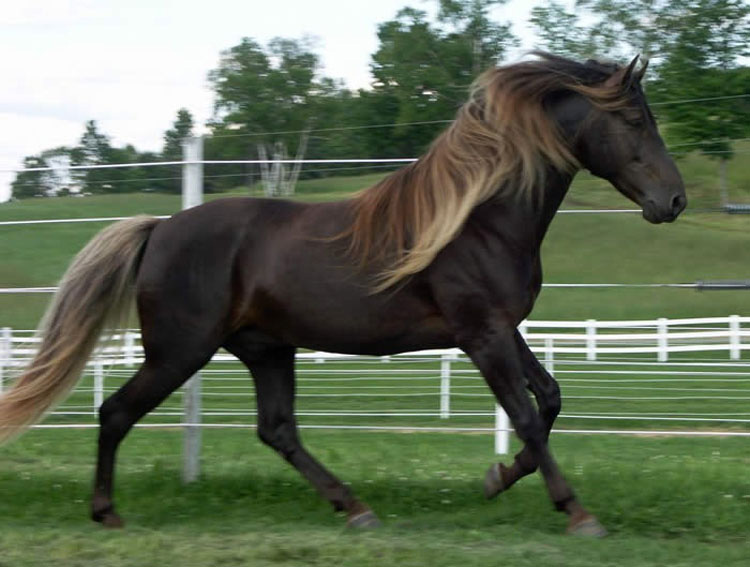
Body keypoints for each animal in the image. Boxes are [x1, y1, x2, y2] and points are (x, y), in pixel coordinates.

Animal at [0, 53, 688, 536]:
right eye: (633, 120)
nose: (674, 200)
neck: (478, 220)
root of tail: (161, 228)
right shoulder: (481, 334)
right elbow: (525, 416)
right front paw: (576, 512)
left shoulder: (502, 328)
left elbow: (549, 400)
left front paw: (496, 479)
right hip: (179, 351)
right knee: (115, 413)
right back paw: (106, 512)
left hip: (265, 349)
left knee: (277, 429)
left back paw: (354, 506)